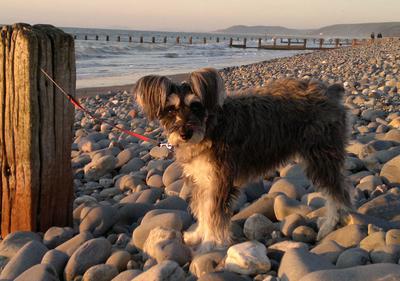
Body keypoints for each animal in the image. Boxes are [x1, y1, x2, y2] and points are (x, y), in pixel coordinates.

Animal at [134, 67, 350, 252]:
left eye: (195, 106)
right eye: (170, 109)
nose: (185, 134)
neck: (211, 127)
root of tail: (330, 91)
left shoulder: (220, 181)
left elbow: (214, 214)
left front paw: (210, 244)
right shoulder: (202, 181)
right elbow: (203, 210)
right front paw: (198, 236)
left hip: (321, 157)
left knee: (338, 192)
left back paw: (330, 226)